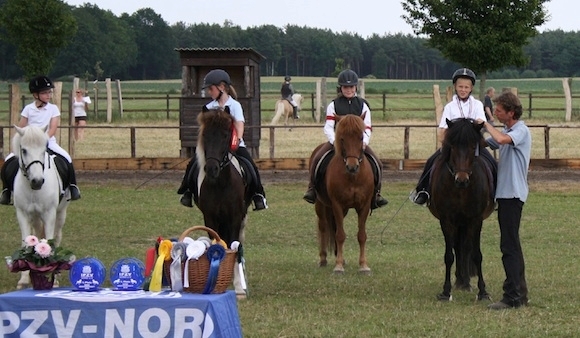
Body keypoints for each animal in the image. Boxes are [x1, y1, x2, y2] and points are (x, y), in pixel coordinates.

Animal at [12, 125, 70, 290]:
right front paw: (24, 279)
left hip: (60, 213)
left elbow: (49, 241)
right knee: (37, 234)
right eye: (24, 150)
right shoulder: (22, 214)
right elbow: (27, 243)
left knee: (57, 237)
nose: (37, 181)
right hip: (35, 217)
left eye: (44, 150)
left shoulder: (50, 213)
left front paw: (52, 277)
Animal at [195, 105, 251, 296]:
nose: (211, 169)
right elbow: (216, 244)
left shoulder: (235, 217)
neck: (220, 183)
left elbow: (233, 246)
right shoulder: (210, 217)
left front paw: (239, 286)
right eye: (205, 134)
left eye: (226, 135)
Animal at [312, 113, 376, 274]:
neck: (352, 177)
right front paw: (338, 266)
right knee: (323, 226)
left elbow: (362, 235)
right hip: (320, 204)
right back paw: (323, 259)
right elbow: (340, 235)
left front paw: (363, 265)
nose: (352, 167)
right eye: (341, 139)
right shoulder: (337, 205)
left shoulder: (364, 206)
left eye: (361, 137)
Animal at [428, 118, 496, 302]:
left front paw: (483, 291)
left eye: (473, 147)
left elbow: (477, 255)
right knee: (458, 248)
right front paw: (446, 291)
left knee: (464, 248)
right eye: (452, 146)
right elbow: (449, 256)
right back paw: (460, 281)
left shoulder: (476, 220)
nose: (462, 180)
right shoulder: (446, 220)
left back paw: (465, 282)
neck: (460, 191)